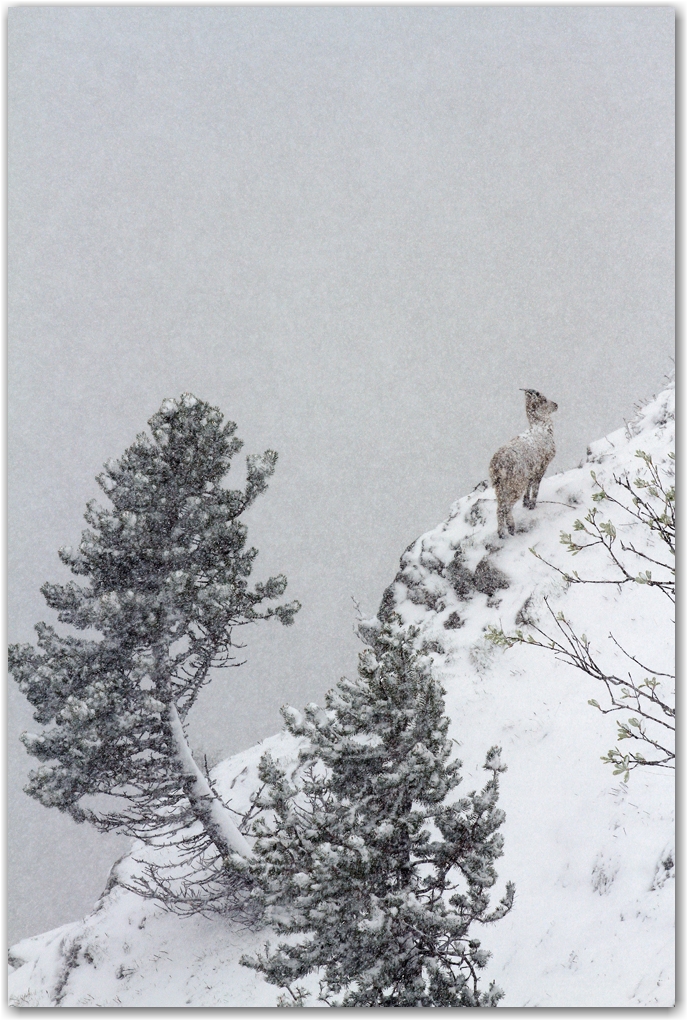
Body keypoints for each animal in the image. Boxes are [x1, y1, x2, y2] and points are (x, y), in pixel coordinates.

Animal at [487, 385, 554, 538]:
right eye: (544, 399)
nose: (556, 405)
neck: (541, 427)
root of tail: (497, 465)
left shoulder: (531, 470)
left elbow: (529, 486)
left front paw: (525, 502)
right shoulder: (541, 467)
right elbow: (535, 488)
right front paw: (532, 505)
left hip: (500, 487)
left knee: (499, 507)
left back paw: (501, 533)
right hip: (515, 483)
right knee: (505, 507)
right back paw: (511, 527)